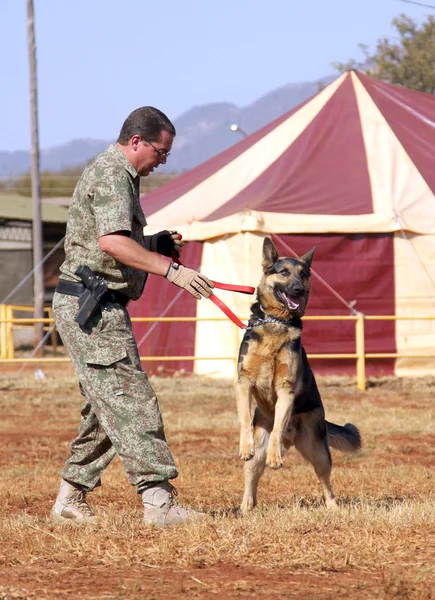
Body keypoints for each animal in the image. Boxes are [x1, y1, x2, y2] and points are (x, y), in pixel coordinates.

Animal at [237, 237, 362, 512]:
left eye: (303, 274)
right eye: (284, 272)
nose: (297, 289)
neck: (276, 322)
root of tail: (292, 438)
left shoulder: (286, 390)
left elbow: (278, 426)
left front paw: (275, 457)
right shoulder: (243, 383)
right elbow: (244, 419)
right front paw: (244, 445)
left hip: (318, 451)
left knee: (325, 481)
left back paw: (333, 507)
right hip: (259, 456)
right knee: (252, 477)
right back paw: (245, 507)